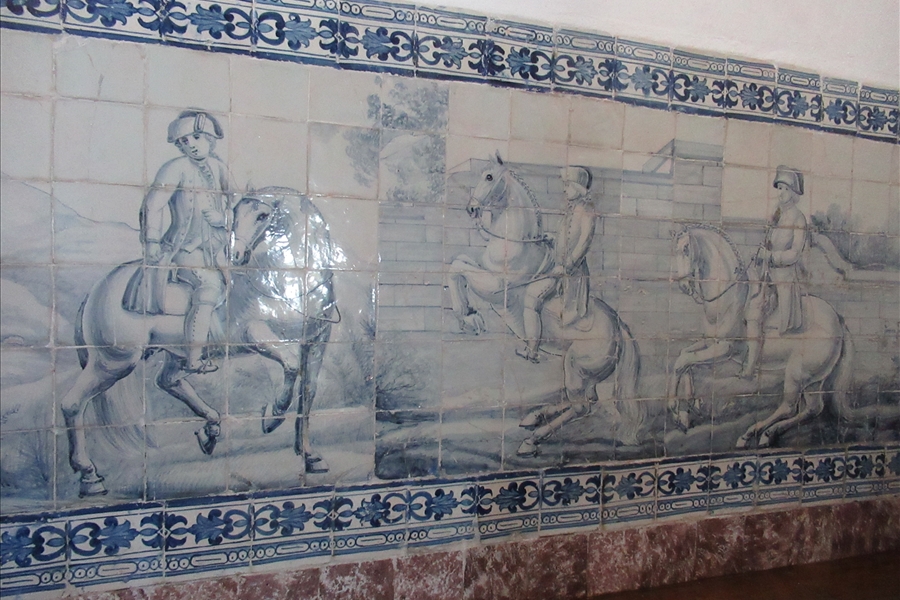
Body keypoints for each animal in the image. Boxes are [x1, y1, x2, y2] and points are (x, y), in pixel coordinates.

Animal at [60, 186, 337, 497]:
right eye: (236, 213)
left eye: (263, 215)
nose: (234, 254)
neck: (285, 280)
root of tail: (99, 289)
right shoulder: (255, 334)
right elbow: (289, 366)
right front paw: (272, 416)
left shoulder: (316, 343)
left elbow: (308, 393)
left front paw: (310, 456)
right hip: (114, 362)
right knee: (72, 404)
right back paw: (89, 477)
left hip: (173, 353)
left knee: (167, 381)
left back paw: (211, 429)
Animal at [448, 154, 644, 455]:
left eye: (489, 177)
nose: (472, 208)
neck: (515, 246)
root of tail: (619, 329)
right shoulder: (484, 271)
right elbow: (459, 261)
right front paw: (469, 315)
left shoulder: (494, 286)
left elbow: (456, 268)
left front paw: (468, 317)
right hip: (585, 374)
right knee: (587, 402)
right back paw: (534, 417)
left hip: (576, 368)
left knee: (581, 407)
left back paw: (533, 439)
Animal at [671, 225, 898, 447]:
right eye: (675, 250)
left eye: (686, 249)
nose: (682, 285)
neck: (728, 296)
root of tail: (839, 321)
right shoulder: (710, 342)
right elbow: (684, 357)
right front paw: (687, 411)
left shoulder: (725, 348)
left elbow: (683, 362)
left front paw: (675, 408)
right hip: (813, 379)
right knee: (812, 409)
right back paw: (767, 434)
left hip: (797, 373)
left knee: (789, 406)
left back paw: (752, 434)